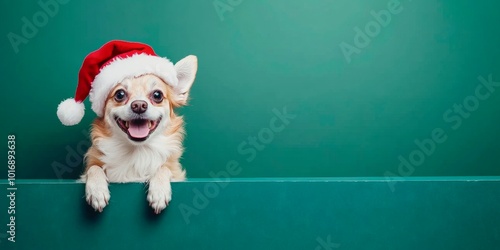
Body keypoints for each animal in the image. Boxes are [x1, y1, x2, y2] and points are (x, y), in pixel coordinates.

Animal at [80, 55, 197, 214]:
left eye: (157, 95)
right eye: (120, 94)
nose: (139, 105)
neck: (138, 151)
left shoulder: (176, 175)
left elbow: (163, 168)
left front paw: (159, 191)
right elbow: (94, 168)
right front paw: (97, 190)